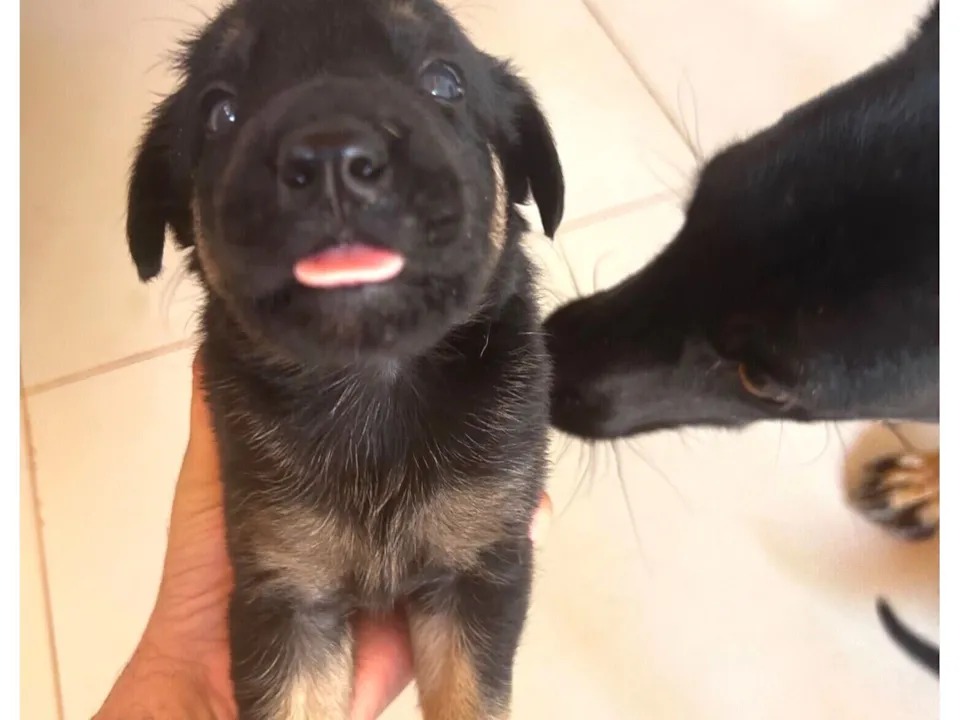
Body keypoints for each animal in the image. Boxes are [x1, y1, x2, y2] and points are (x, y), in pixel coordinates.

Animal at [125, 1, 564, 717]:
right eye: (220, 112)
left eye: (445, 83)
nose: (332, 156)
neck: (371, 383)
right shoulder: (287, 594)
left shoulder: (479, 565)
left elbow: (469, 695)